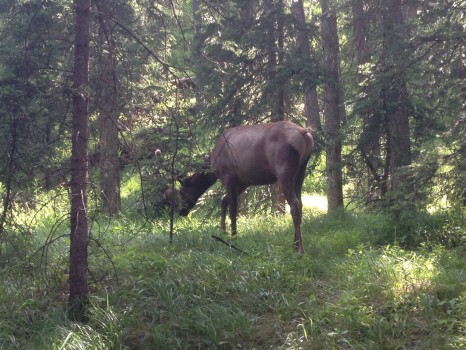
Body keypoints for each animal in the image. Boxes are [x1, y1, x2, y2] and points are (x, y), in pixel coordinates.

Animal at [178, 121, 314, 253]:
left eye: (181, 192)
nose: (181, 211)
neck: (213, 164)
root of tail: (304, 133)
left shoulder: (229, 176)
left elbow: (233, 209)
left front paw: (234, 238)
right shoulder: (244, 182)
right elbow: (224, 201)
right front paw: (223, 231)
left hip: (284, 170)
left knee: (294, 205)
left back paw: (300, 249)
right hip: (301, 171)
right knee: (300, 204)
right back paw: (295, 244)